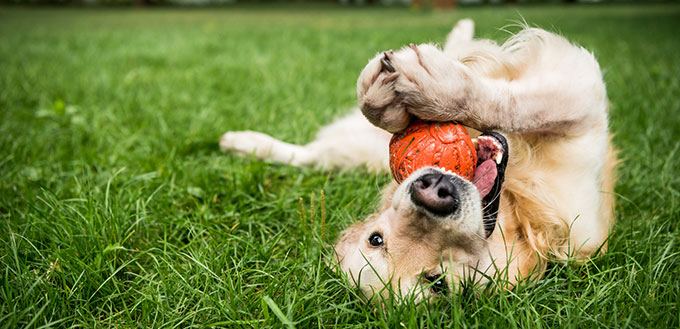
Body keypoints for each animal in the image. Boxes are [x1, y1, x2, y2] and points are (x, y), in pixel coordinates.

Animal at [222, 18, 616, 300]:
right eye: (377, 239)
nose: (433, 191)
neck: (515, 208)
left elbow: (516, 103)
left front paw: (428, 90)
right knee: (312, 155)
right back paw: (243, 144)